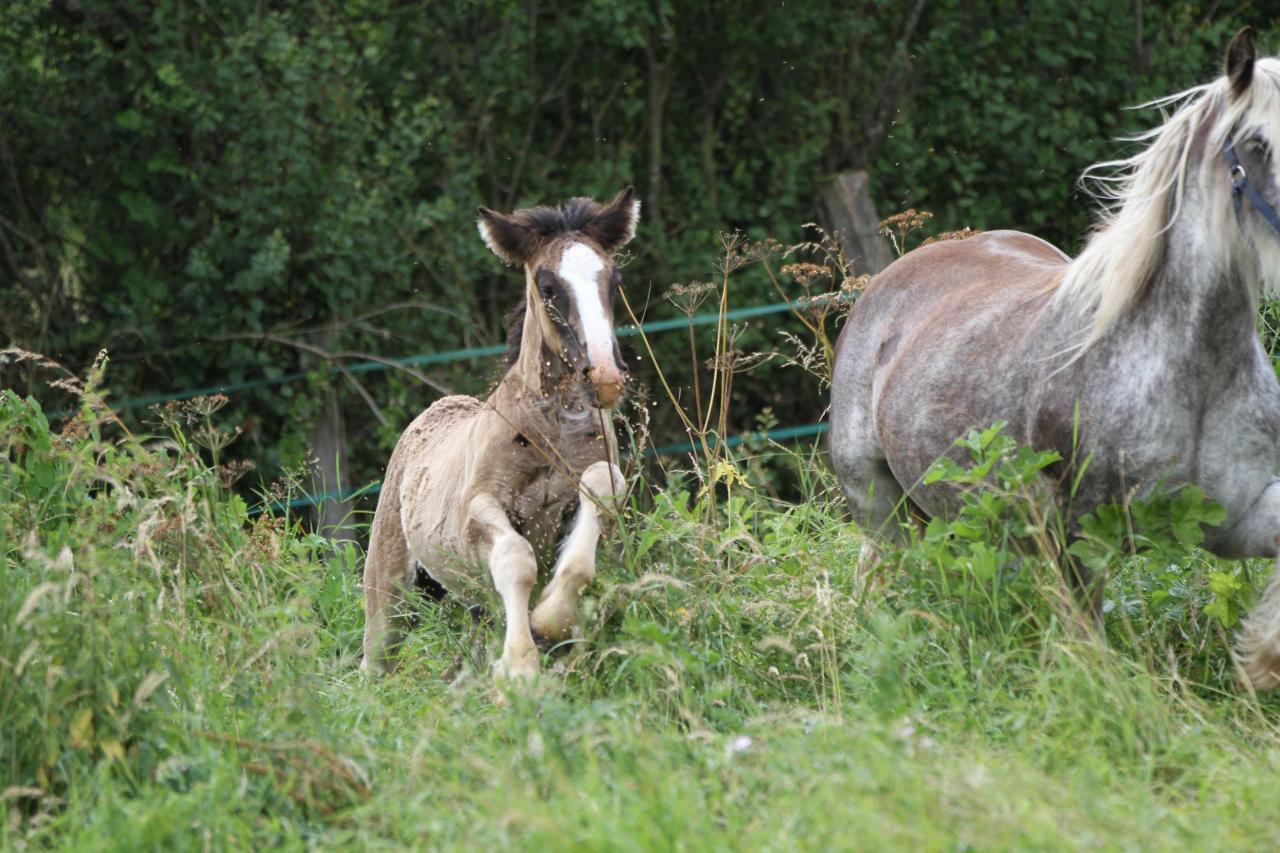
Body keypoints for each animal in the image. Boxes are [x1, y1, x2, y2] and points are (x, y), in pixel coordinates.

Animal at [363, 188, 637, 676]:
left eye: (614, 279)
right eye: (548, 287)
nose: (606, 377)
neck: (552, 431)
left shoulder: (594, 491)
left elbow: (600, 494)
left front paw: (551, 617)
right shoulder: (478, 506)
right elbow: (516, 559)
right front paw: (520, 667)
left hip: (469, 607)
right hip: (388, 591)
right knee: (373, 659)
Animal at [829, 28, 1280, 686]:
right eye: (1257, 142)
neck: (1193, 371)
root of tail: (898, 270)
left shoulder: (1236, 514)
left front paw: (1257, 669)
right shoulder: (1080, 534)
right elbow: (1087, 645)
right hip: (879, 506)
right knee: (887, 582)